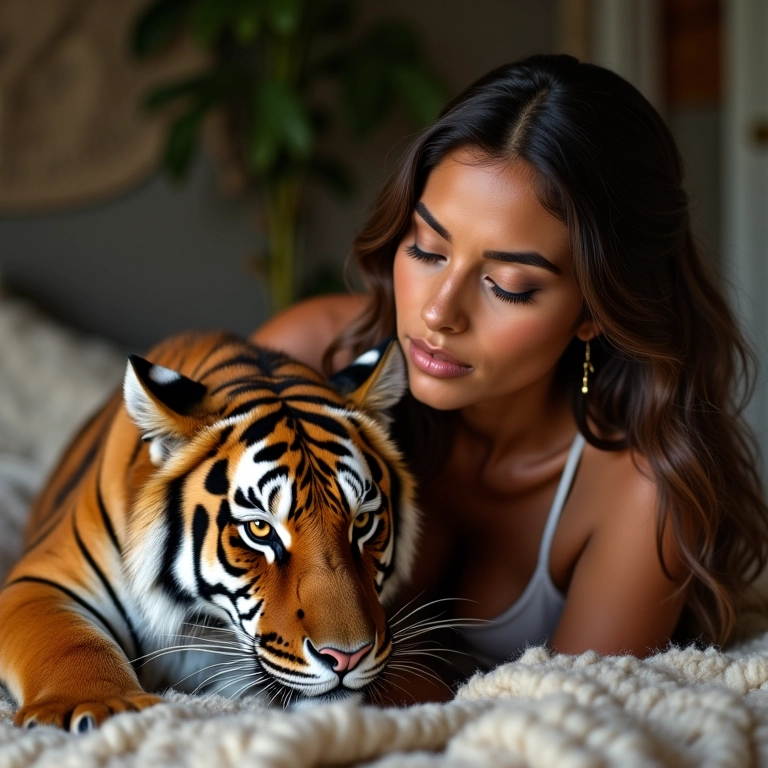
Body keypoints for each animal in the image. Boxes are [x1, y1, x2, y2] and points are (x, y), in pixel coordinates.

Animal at [0, 331, 419, 732]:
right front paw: (102, 707)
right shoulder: (40, 583)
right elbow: (72, 644)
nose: (348, 657)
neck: (201, 619)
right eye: (259, 528)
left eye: (361, 522)